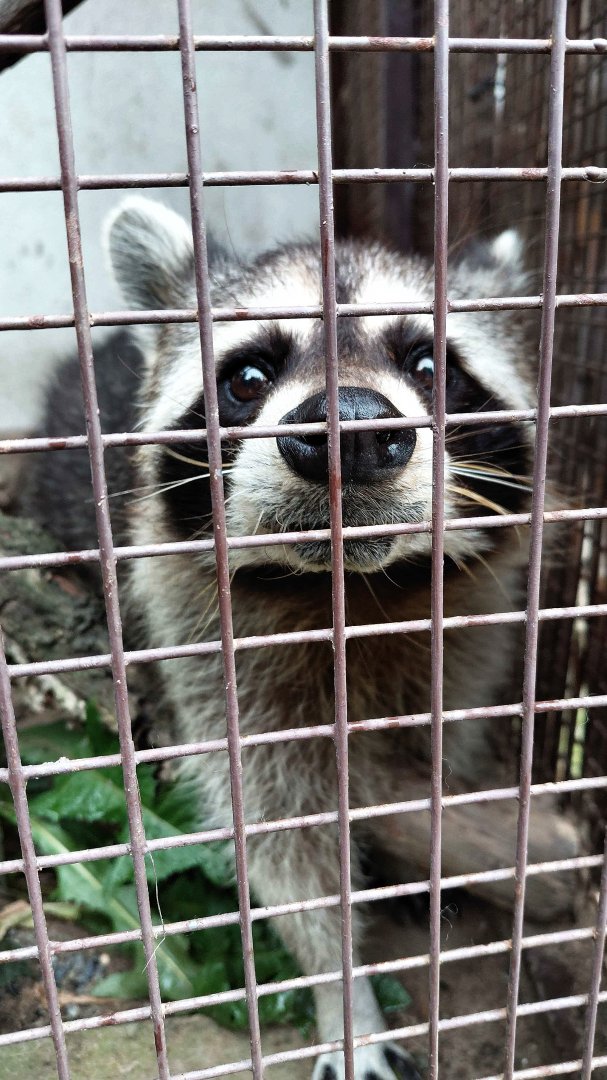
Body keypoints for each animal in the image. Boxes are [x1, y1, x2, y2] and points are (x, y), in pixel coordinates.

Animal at [29, 199, 580, 1080]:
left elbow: (434, 748)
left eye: (429, 364)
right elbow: (286, 842)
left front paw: (423, 854)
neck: (351, 591)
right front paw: (341, 991)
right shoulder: (216, 665)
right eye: (248, 378)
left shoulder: (467, 635)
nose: (349, 430)